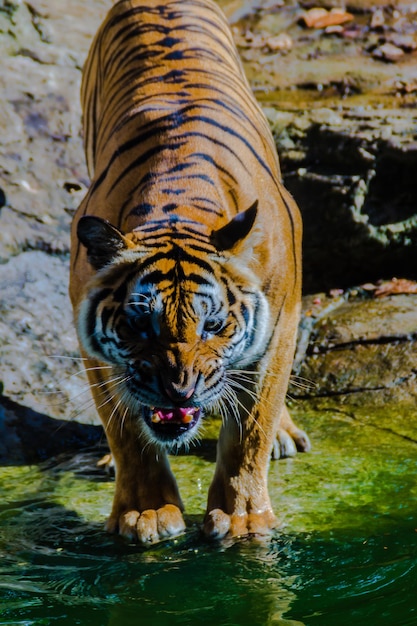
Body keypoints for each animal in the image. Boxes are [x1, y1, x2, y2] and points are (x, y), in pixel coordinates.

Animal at [69, 0, 308, 540]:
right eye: (139, 325)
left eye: (214, 326)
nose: (179, 391)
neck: (179, 209)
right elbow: (126, 431)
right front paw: (147, 512)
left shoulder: (278, 324)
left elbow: (251, 428)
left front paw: (243, 519)